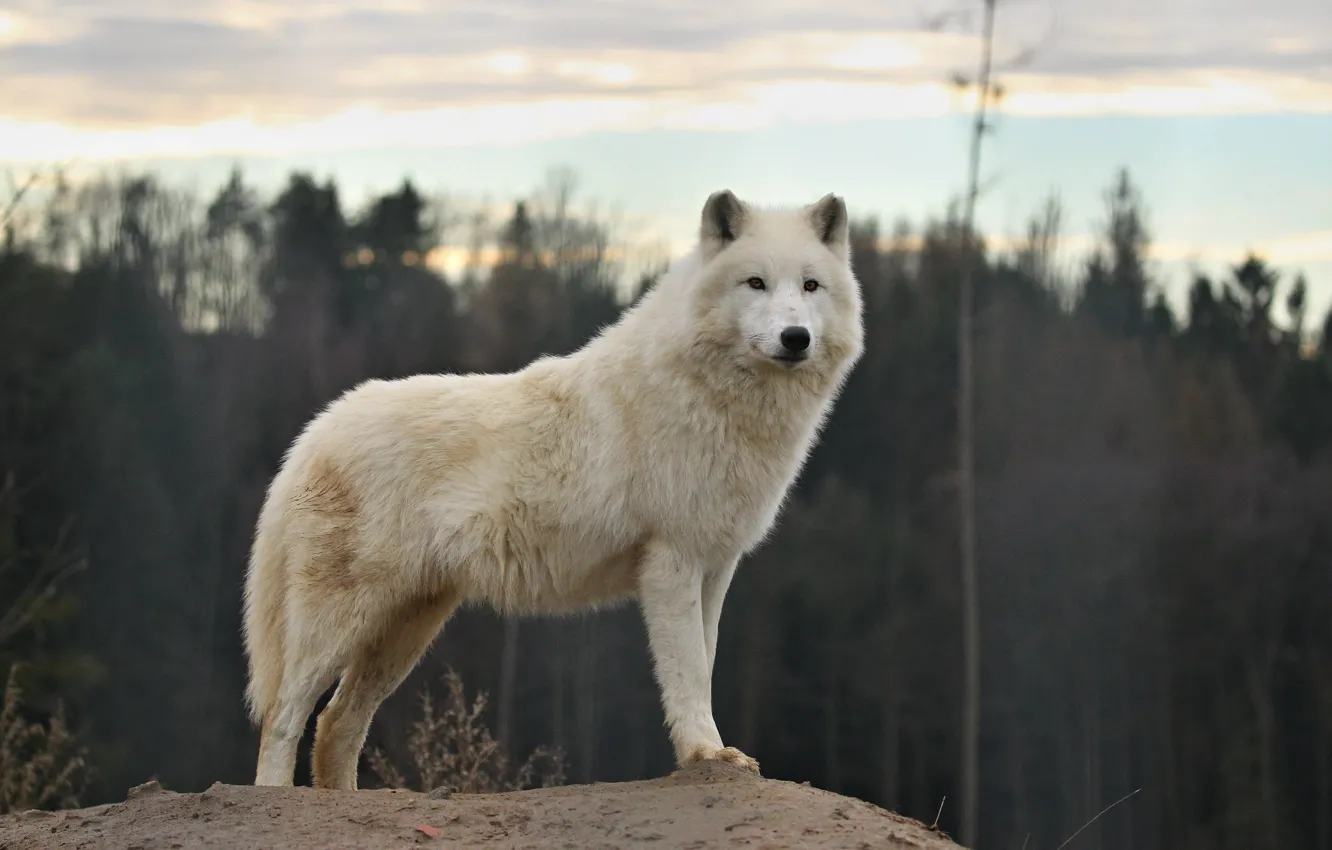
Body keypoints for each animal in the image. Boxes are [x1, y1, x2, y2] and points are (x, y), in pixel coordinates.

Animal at [242, 189, 865, 789]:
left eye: (810, 285)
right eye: (755, 282)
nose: (795, 337)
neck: (715, 399)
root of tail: (317, 429)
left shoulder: (716, 566)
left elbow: (704, 666)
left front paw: (714, 753)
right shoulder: (673, 562)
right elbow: (688, 673)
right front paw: (705, 754)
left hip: (406, 628)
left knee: (337, 723)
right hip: (342, 623)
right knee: (284, 716)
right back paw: (274, 795)